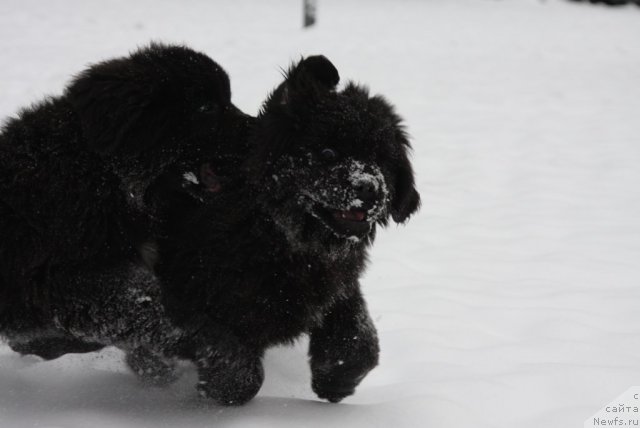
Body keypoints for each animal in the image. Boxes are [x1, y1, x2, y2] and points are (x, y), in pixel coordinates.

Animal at [0, 44, 422, 404]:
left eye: (382, 160)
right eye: (328, 152)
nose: (369, 187)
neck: (275, 235)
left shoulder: (333, 278)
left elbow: (357, 334)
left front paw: (336, 378)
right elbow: (189, 336)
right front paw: (219, 385)